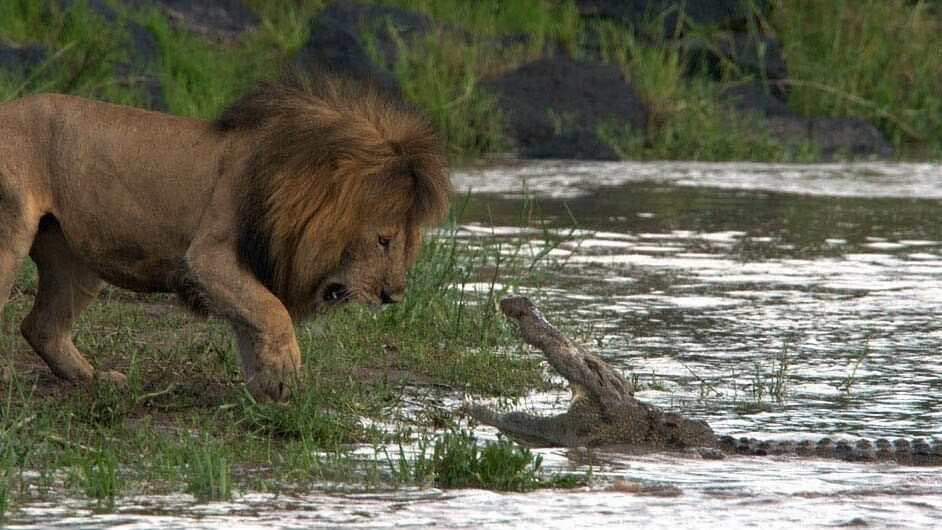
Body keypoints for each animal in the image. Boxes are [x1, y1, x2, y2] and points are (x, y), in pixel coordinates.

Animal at [0, 71, 454, 400]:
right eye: (384, 241)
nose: (393, 296)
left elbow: (252, 325)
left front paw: (269, 392)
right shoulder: (207, 258)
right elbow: (273, 312)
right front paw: (288, 372)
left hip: (75, 262)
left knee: (42, 327)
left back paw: (95, 380)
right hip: (11, 233)